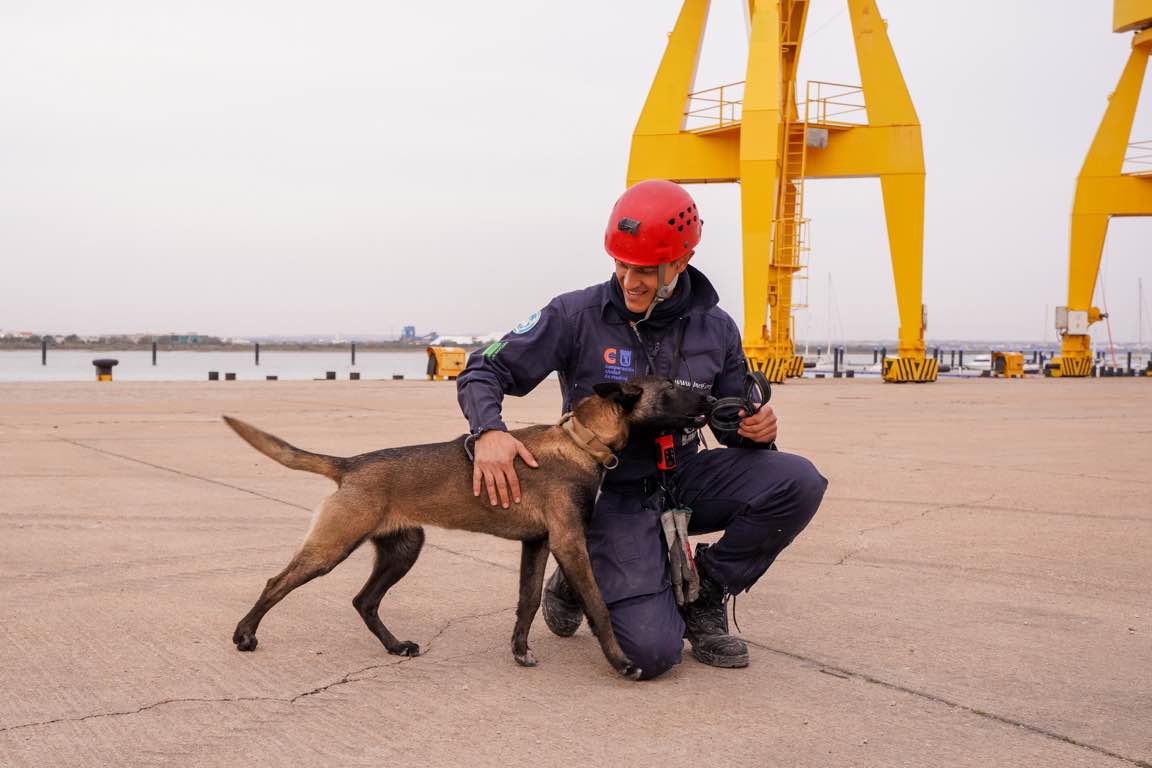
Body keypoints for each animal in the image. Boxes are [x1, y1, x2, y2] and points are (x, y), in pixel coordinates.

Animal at [220, 377, 709, 677]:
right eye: (670, 387)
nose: (709, 399)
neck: (579, 441)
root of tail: (351, 465)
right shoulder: (569, 543)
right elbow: (599, 606)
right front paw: (621, 663)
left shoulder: (537, 543)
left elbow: (528, 601)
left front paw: (519, 650)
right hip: (332, 546)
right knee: (277, 582)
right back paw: (245, 635)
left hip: (403, 549)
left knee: (365, 601)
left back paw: (395, 646)